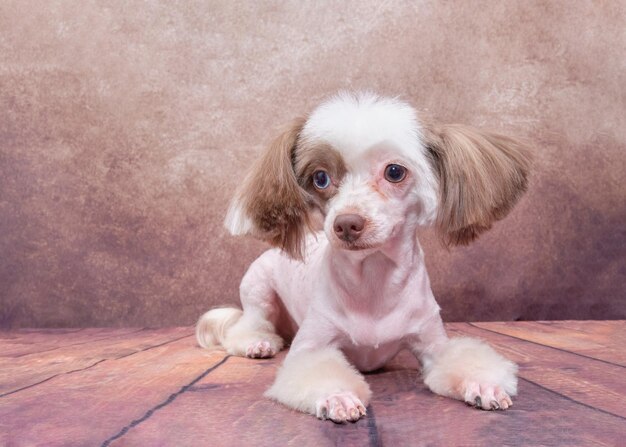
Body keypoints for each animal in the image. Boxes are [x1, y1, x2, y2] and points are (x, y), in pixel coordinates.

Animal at [196, 92, 528, 424]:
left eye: (394, 172)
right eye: (320, 177)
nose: (346, 223)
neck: (373, 280)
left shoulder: (433, 344)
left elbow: (463, 358)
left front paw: (483, 383)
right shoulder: (311, 347)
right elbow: (317, 369)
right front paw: (337, 396)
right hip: (258, 289)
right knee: (249, 324)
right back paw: (257, 343)